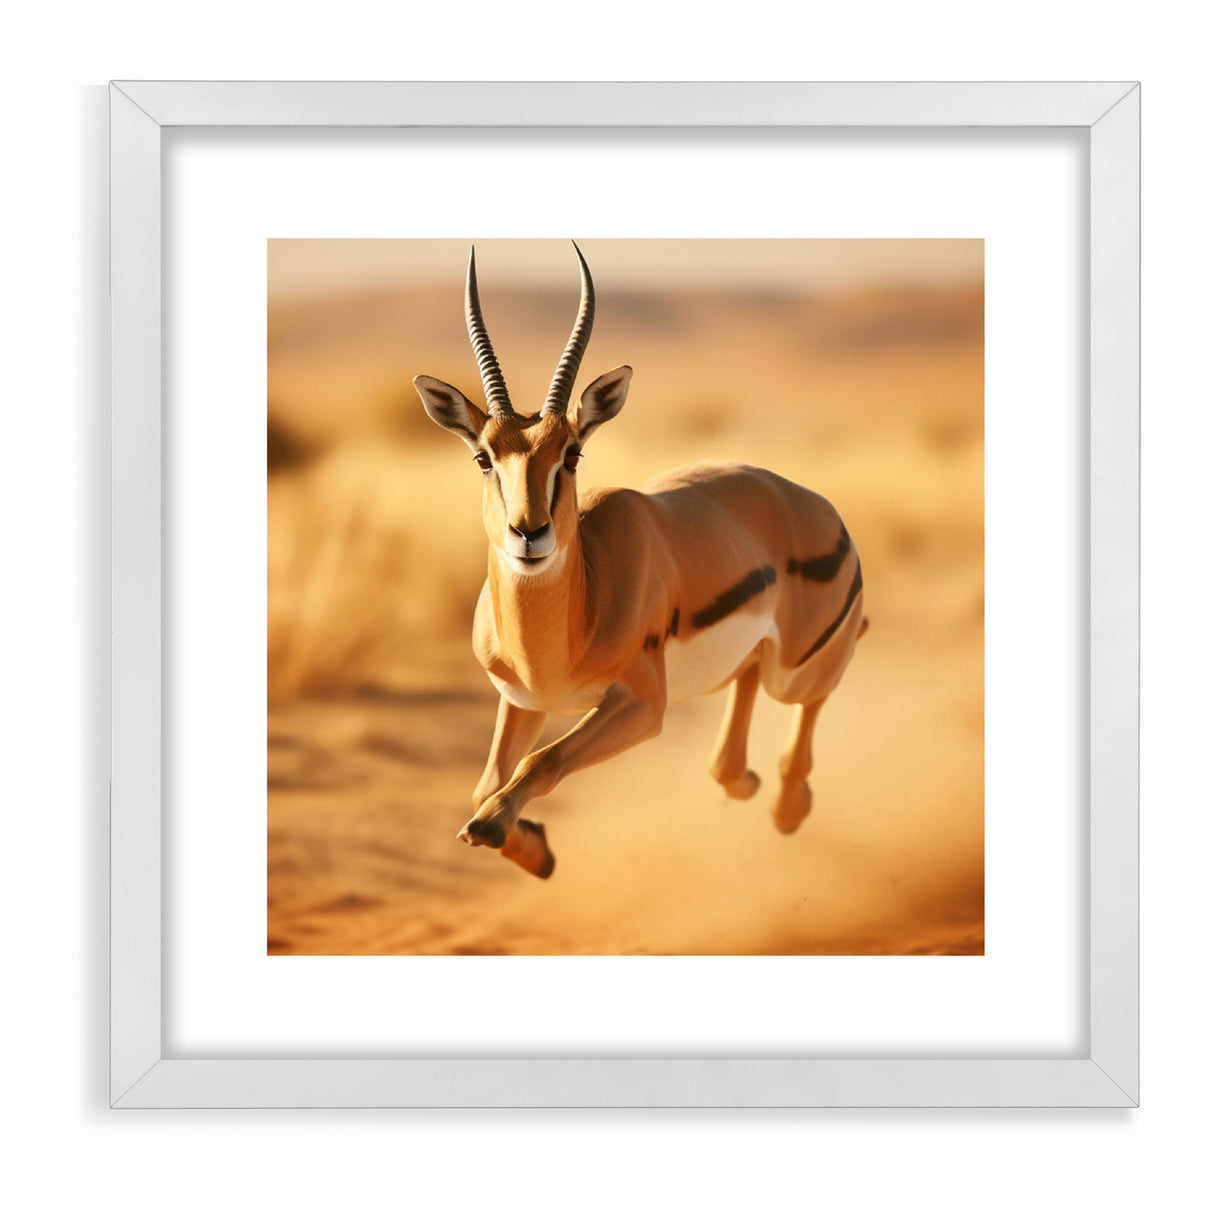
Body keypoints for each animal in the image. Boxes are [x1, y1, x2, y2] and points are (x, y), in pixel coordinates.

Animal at [413, 243, 867, 879]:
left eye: (572, 453)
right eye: (484, 457)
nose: (529, 533)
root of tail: (817, 505)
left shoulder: (643, 705)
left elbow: (537, 764)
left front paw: (499, 829)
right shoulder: (523, 702)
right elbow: (486, 784)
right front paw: (536, 850)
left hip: (796, 670)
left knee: (822, 678)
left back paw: (787, 806)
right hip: (761, 662)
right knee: (742, 699)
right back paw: (746, 784)